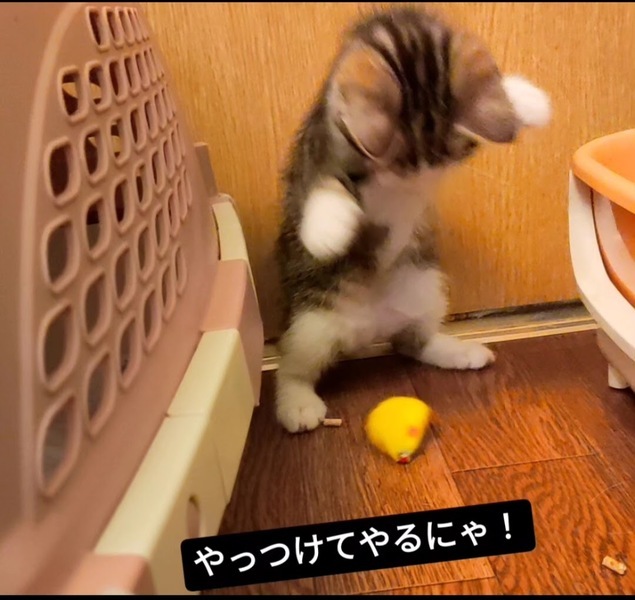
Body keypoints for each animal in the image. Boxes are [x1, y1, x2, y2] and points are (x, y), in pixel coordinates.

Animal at [274, 5, 551, 433]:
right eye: (394, 166)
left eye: (437, 166)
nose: (412, 186)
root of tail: (368, 330)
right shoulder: (315, 152)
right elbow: (324, 185)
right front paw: (328, 231)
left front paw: (526, 98)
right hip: (313, 321)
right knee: (292, 364)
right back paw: (297, 404)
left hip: (425, 285)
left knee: (412, 341)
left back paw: (457, 350)